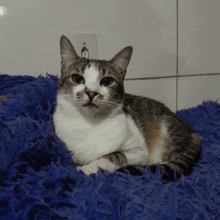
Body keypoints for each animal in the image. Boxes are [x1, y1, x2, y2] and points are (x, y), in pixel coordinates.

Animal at [52, 35, 201, 180]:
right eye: (77, 78)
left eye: (107, 81)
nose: (91, 93)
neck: (90, 123)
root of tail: (191, 131)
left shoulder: (139, 151)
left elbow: (114, 155)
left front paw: (85, 170)